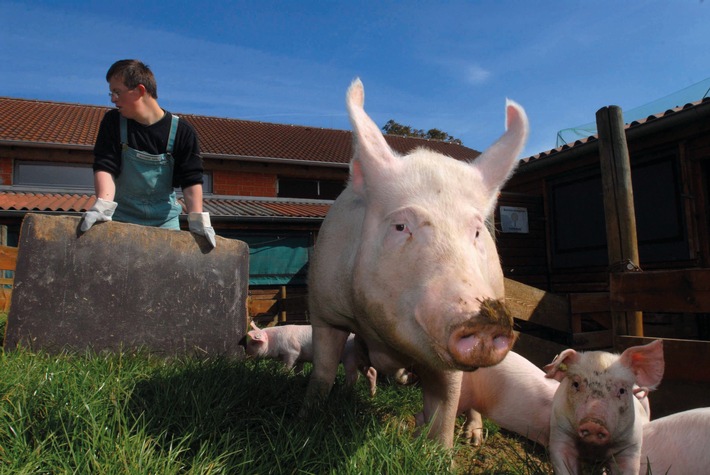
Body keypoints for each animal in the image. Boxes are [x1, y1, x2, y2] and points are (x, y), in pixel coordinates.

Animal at [300, 77, 528, 446]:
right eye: (400, 226)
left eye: (476, 231)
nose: (485, 319)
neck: (380, 334)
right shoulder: (324, 310)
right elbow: (322, 370)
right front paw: (306, 418)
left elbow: (447, 406)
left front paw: (442, 449)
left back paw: (473, 438)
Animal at [544, 340, 668, 474]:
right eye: (576, 384)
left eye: (622, 390)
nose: (593, 423)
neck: (593, 449)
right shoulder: (560, 432)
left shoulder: (630, 445)